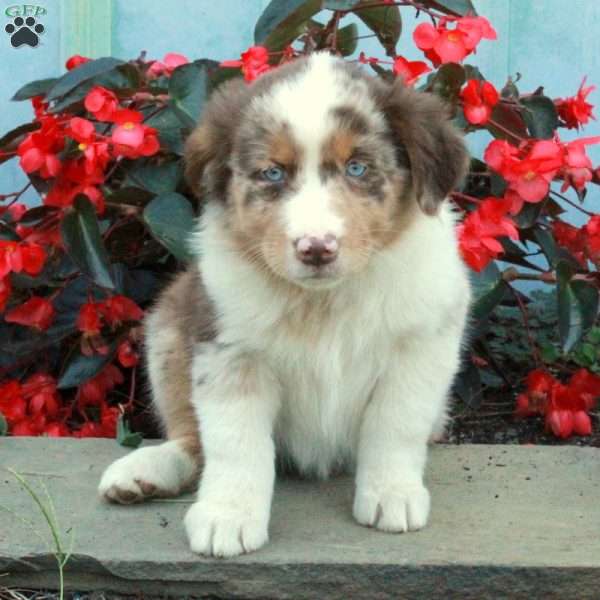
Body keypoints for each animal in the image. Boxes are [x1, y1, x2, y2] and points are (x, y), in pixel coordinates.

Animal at [98, 51, 472, 556]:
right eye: (272, 173)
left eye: (357, 168)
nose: (316, 248)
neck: (323, 301)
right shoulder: (229, 350)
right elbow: (235, 442)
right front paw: (228, 515)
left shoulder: (421, 344)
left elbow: (395, 423)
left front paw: (391, 494)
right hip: (169, 324)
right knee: (191, 437)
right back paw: (144, 471)